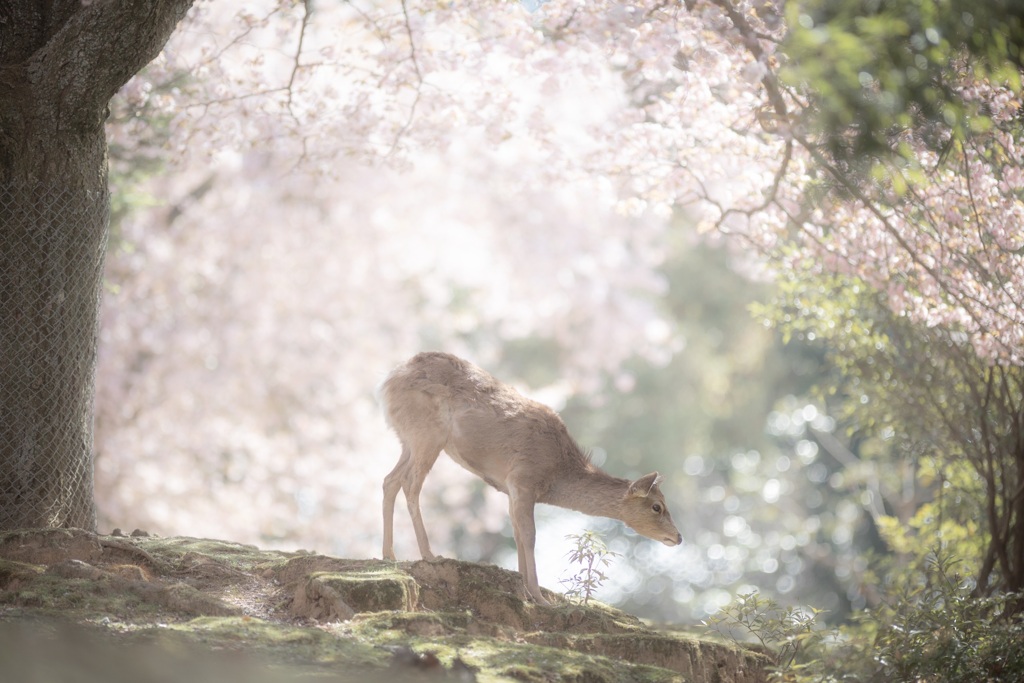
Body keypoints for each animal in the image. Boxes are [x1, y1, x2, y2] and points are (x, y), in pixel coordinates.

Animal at [376, 352, 679, 602]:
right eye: (657, 506)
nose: (678, 537)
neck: (558, 472)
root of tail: (389, 380)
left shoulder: (510, 488)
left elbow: (517, 533)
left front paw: (525, 589)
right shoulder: (524, 479)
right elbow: (530, 535)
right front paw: (539, 596)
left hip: (408, 438)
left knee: (390, 480)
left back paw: (388, 554)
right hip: (427, 433)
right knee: (410, 484)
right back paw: (428, 554)